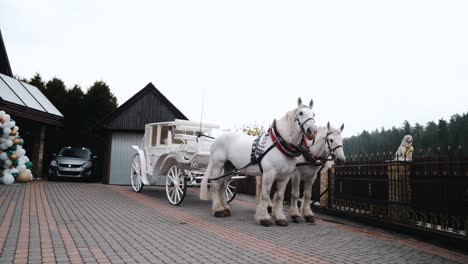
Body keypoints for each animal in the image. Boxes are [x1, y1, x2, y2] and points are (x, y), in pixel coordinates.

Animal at [199, 98, 316, 226]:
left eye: (314, 114)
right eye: (301, 113)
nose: (312, 131)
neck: (279, 144)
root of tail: (217, 139)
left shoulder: (285, 176)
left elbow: (279, 196)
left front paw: (280, 218)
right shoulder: (269, 174)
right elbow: (265, 195)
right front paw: (263, 218)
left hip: (229, 166)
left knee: (224, 185)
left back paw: (225, 208)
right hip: (218, 164)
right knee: (215, 184)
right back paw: (218, 210)